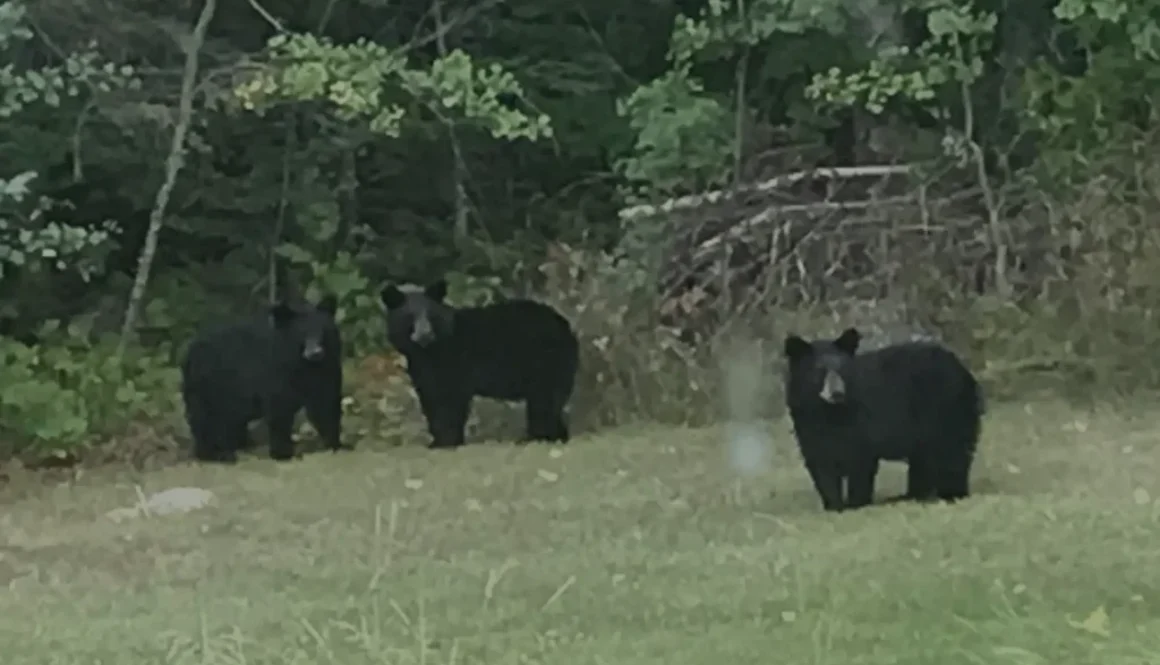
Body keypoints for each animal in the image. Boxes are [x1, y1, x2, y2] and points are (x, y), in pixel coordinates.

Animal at [180, 294, 346, 463]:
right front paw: (283, 453)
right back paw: (215, 454)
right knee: (205, 419)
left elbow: (325, 405)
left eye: (322, 332)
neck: (304, 366)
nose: (315, 352)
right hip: (207, 387)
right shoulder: (276, 374)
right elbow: (280, 410)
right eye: (302, 334)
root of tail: (189, 352)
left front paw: (336, 444)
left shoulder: (326, 370)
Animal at [380, 279, 580, 449]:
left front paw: (447, 441)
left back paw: (536, 438)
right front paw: (436, 441)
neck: (428, 351)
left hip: (545, 363)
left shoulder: (454, 363)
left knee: (544, 401)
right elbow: (431, 400)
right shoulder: (422, 370)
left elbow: (450, 401)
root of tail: (565, 326)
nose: (425, 334)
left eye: (431, 315)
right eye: (409, 316)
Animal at [782, 327, 984, 512]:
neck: (828, 413)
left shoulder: (861, 423)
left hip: (946, 410)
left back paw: (951, 494)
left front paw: (856, 504)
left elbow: (860, 462)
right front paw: (834, 506)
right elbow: (822, 466)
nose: (837, 393)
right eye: (819, 370)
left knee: (953, 453)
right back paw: (911, 495)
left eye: (842, 368)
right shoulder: (808, 427)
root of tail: (963, 369)